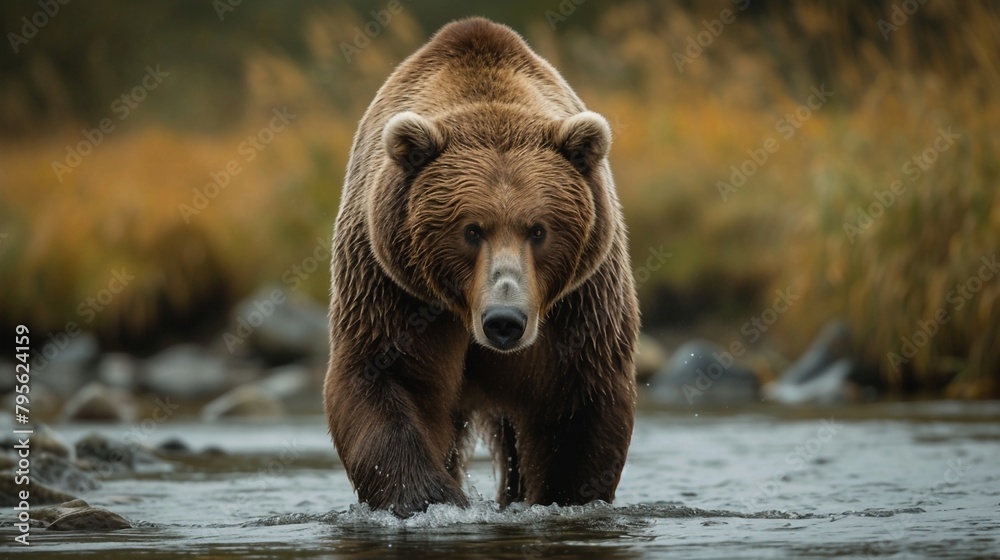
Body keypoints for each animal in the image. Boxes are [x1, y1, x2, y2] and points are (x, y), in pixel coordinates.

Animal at [324, 17, 639, 518]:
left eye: (538, 229)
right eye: (471, 230)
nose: (504, 320)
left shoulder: (579, 302)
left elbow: (580, 400)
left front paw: (566, 495)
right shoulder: (393, 288)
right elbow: (382, 379)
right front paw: (431, 497)